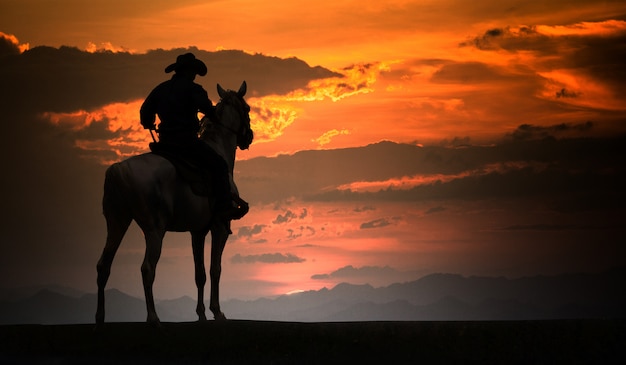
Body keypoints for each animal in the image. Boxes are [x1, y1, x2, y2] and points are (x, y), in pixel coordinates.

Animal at [95, 81, 251, 326]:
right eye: (247, 108)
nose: (249, 137)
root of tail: (119, 169)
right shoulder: (220, 227)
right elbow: (215, 269)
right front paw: (217, 312)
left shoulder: (197, 231)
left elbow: (200, 274)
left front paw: (201, 314)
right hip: (154, 230)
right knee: (147, 269)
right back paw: (153, 317)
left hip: (117, 222)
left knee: (104, 266)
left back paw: (100, 317)